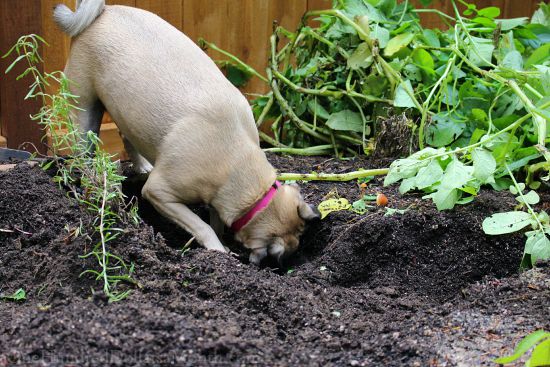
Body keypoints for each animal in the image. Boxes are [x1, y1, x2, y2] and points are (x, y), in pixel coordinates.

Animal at [52, 0, 320, 264]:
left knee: (126, 135)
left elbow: (215, 219)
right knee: (85, 154)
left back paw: (141, 166)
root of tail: (102, 13)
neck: (238, 165)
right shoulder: (160, 193)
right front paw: (217, 249)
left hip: (125, 110)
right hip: (84, 113)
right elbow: (203, 226)